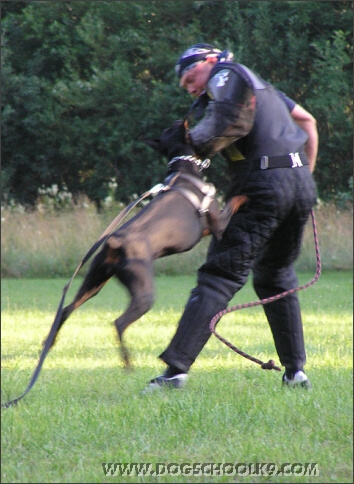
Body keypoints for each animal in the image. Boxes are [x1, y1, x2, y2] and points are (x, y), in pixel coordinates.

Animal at [51, 122, 248, 366]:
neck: (183, 169)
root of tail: (115, 241)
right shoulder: (218, 225)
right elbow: (233, 203)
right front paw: (243, 195)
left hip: (94, 281)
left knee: (66, 310)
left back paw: (48, 343)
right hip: (143, 292)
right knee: (119, 323)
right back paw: (128, 363)